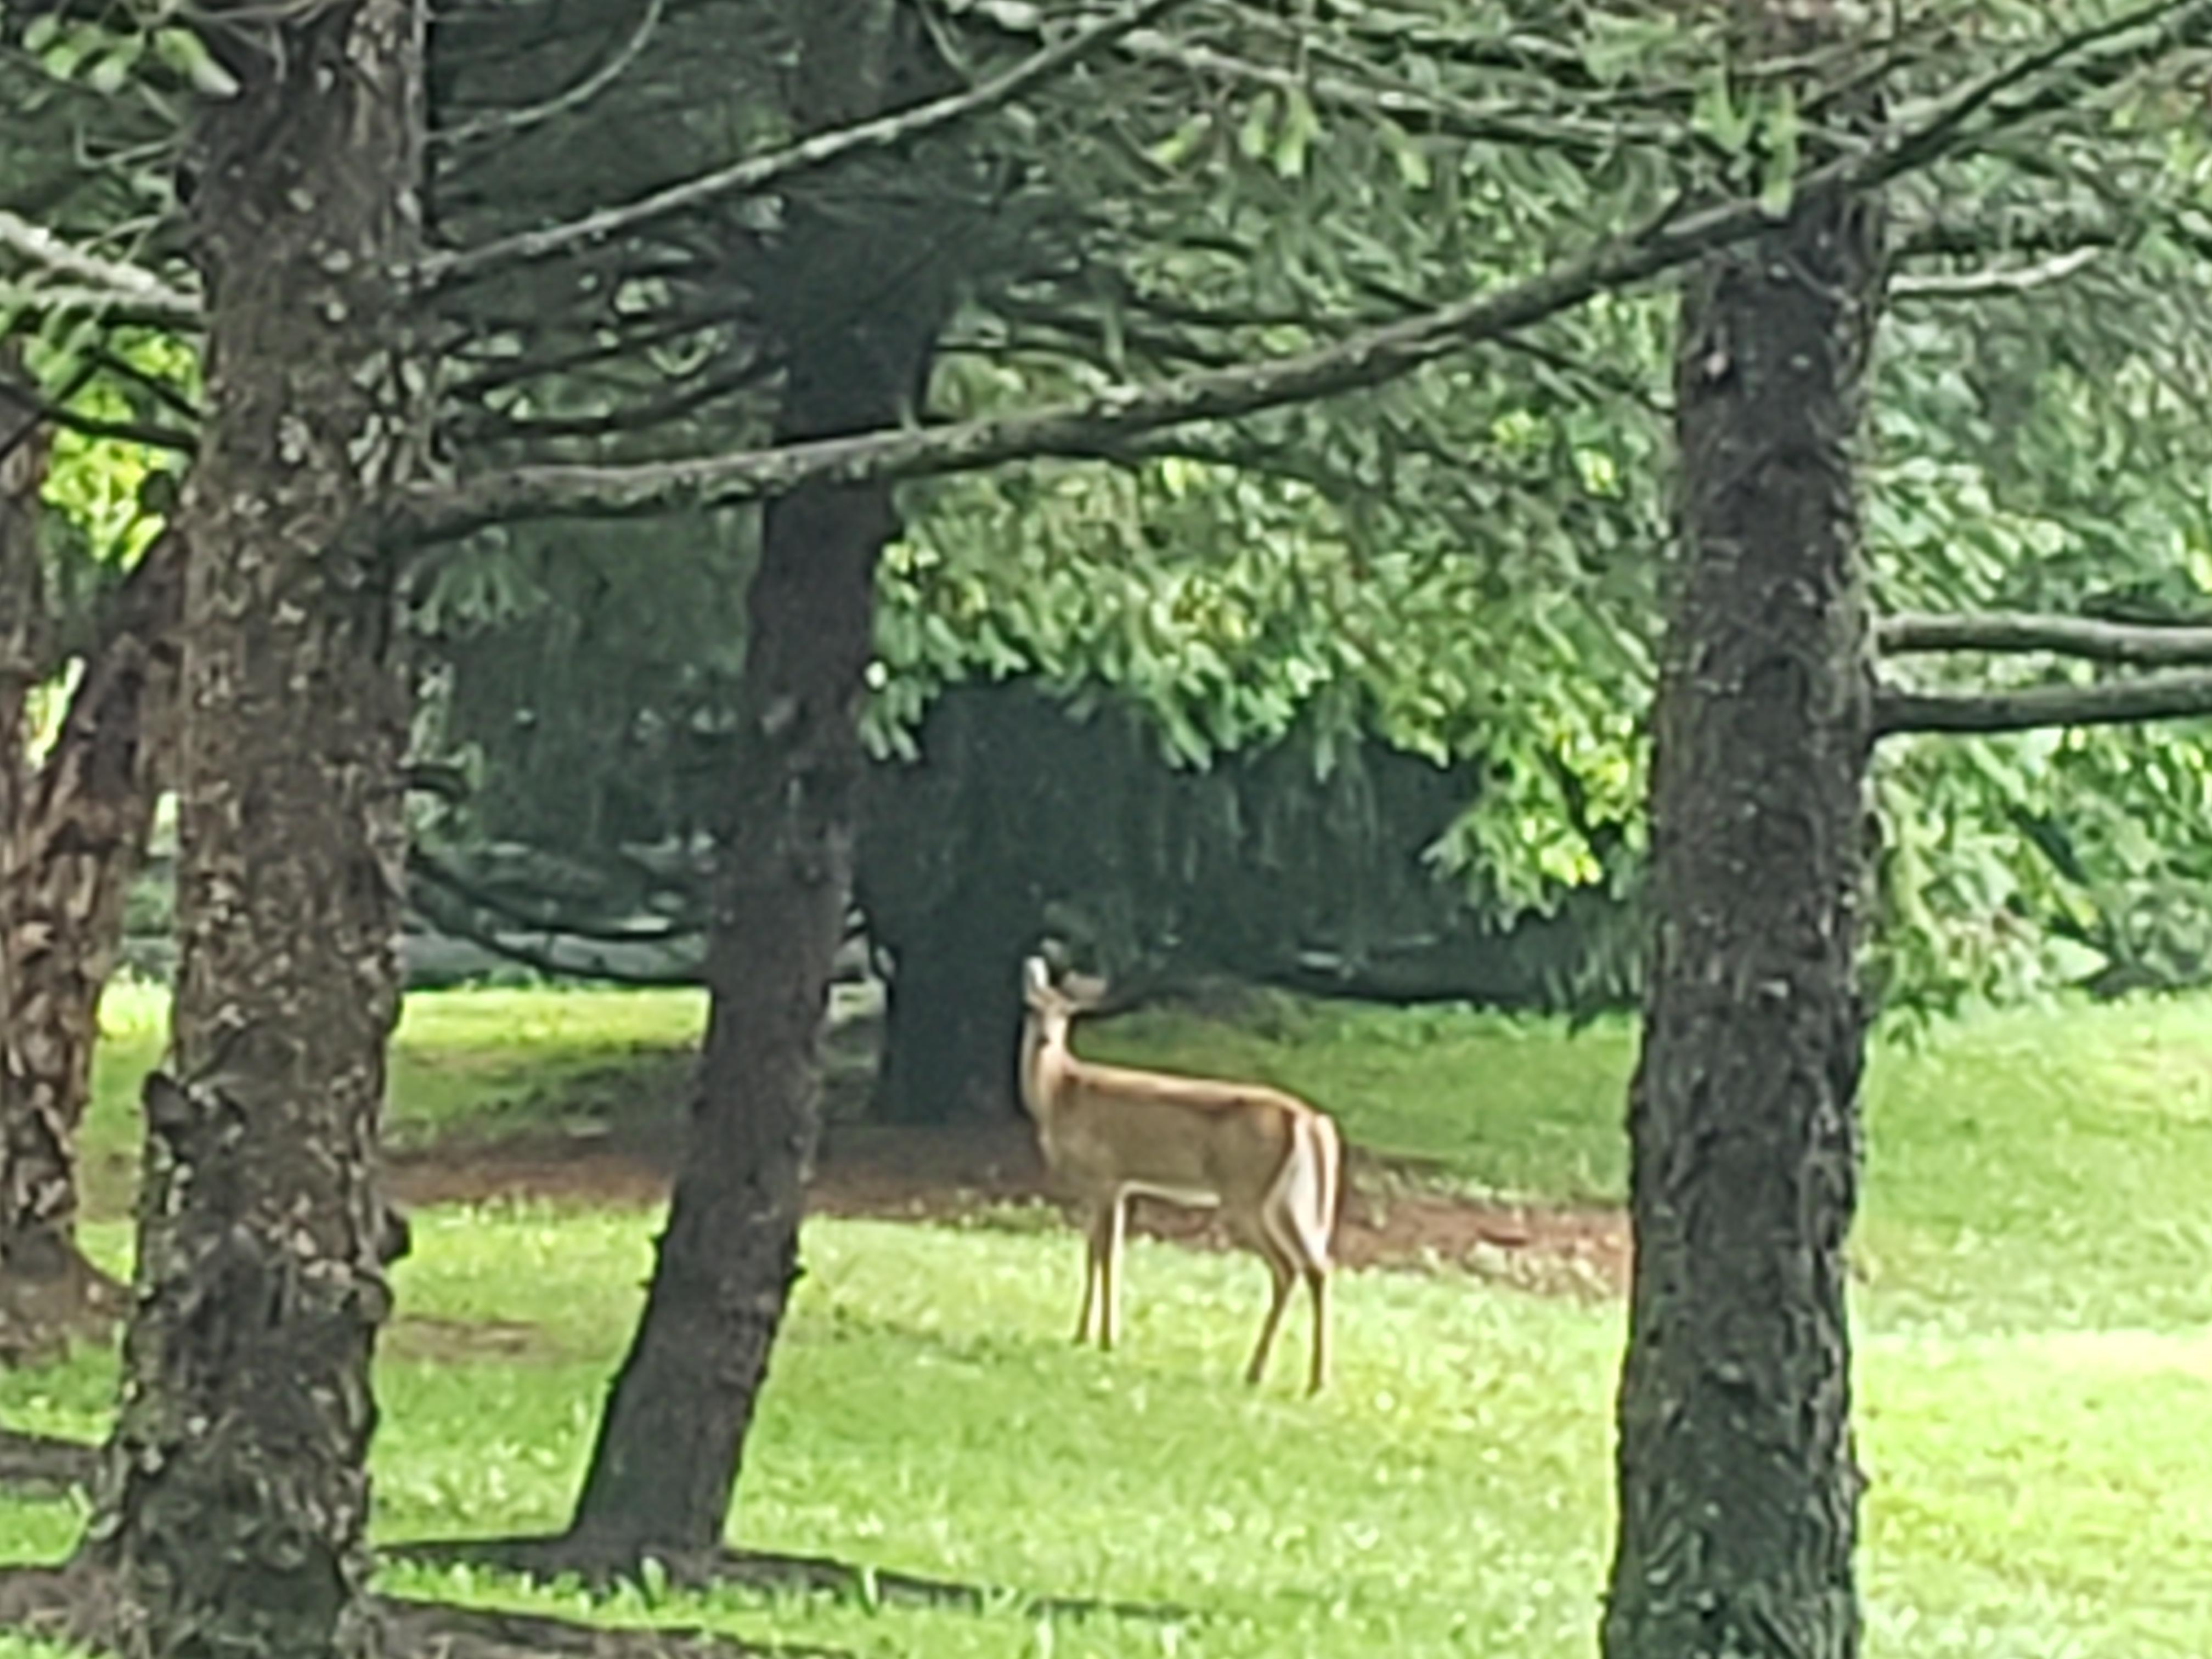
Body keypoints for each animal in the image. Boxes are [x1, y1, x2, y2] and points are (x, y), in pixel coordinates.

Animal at [1013, 955, 1336, 1398]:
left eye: (1068, 1014)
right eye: (1032, 1008)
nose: (1045, 1039)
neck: (1060, 1096)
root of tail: (1309, 1119)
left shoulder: (1105, 1174)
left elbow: (1105, 1254)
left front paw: (1101, 1338)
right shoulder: (1114, 1185)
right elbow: (1100, 1252)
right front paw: (1089, 1335)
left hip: (1247, 1193)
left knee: (1289, 1267)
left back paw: (1257, 1371)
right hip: (1288, 1197)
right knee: (1317, 1266)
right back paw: (1314, 1380)